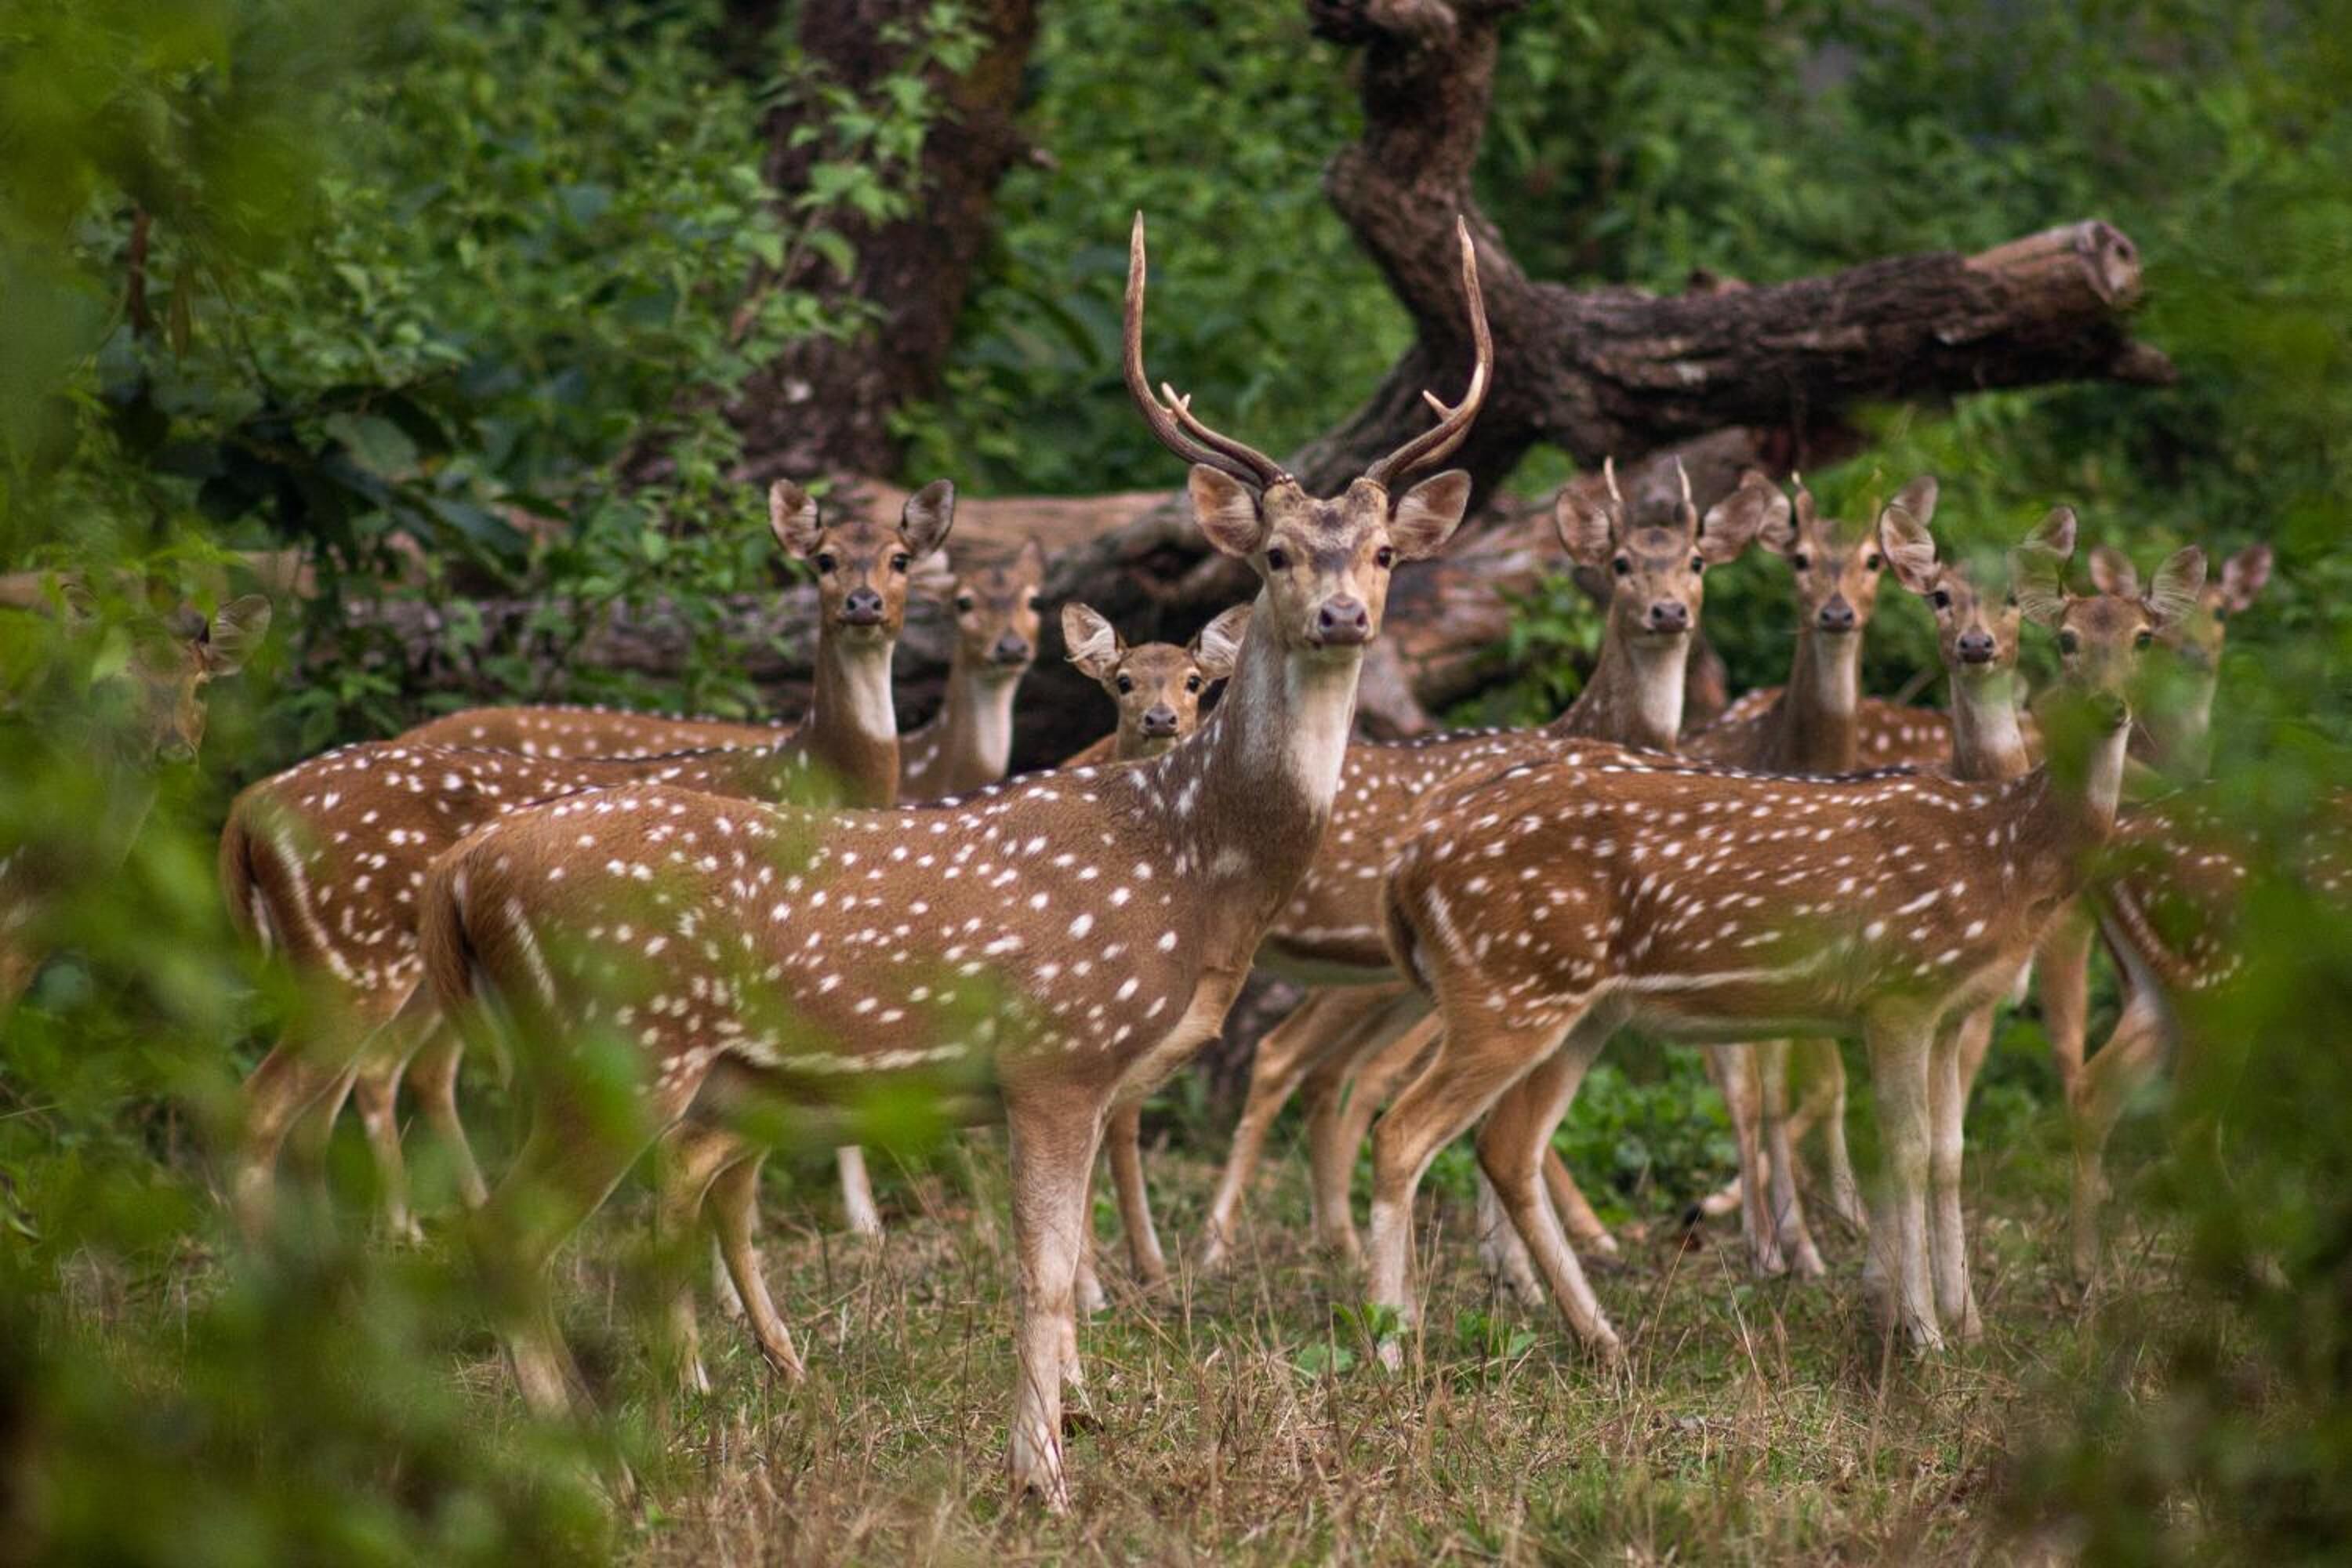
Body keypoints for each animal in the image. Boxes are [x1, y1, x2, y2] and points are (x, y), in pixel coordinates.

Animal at [218, 481, 952, 1242]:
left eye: (901, 559)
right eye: (824, 560)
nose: (863, 604)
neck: (813, 772)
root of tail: (250, 808)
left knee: (328, 1109)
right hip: (354, 956)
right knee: (278, 1104)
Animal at [410, 212, 1488, 1510]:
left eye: (1382, 553)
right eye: (1275, 553)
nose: (1342, 617)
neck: (1190, 868)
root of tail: (463, 878)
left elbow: (1064, 1271)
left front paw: (1069, 1437)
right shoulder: (1056, 1052)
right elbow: (1042, 1275)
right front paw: (1043, 1477)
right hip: (616, 1043)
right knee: (506, 1237)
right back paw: (585, 1476)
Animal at [1190, 460, 1780, 1287]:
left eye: (1697, 563)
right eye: (1619, 565)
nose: (1668, 612)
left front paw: (1512, 1263)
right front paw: (1542, 1259)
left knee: (1311, 1066)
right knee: (1279, 1060)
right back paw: (1212, 1247)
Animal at [1368, 511, 2203, 1360]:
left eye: (2144, 637)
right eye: (2065, 639)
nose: (2110, 707)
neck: (2001, 849)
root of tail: (1406, 867)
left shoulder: (1948, 1006)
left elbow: (1948, 1153)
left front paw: (1958, 1322)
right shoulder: (1898, 991)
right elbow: (1903, 1151)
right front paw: (1922, 1334)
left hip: (1576, 1005)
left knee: (1505, 1145)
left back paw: (1600, 1337)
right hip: (1508, 986)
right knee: (1403, 1130)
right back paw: (1392, 1344)